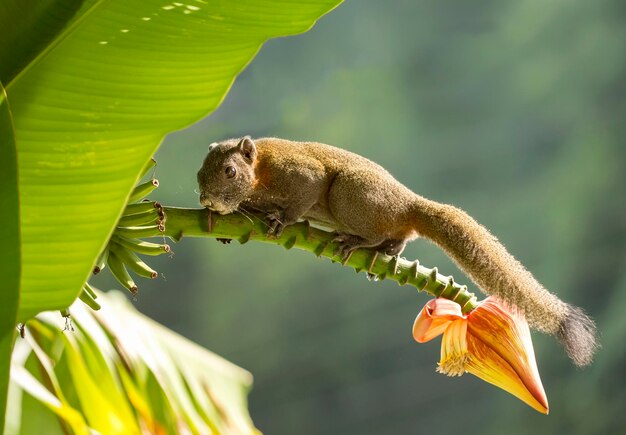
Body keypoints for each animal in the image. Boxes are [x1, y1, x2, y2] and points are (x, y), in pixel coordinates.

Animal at [197, 136, 596, 368]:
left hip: (349, 194)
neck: (261, 167)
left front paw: (279, 220)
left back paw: (359, 242)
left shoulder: (301, 175)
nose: (205, 199)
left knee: (380, 231)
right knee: (402, 237)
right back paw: (388, 248)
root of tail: (408, 204)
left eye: (230, 171)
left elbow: (298, 203)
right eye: (200, 173)